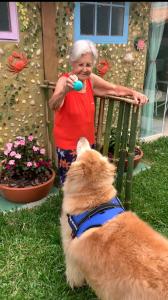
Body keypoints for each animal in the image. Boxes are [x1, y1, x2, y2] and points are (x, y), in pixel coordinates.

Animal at [60, 137, 168, 298]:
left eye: (83, 153)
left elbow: (73, 272)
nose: (82, 138)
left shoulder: (70, 247)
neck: (95, 201)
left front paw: (73, 283)